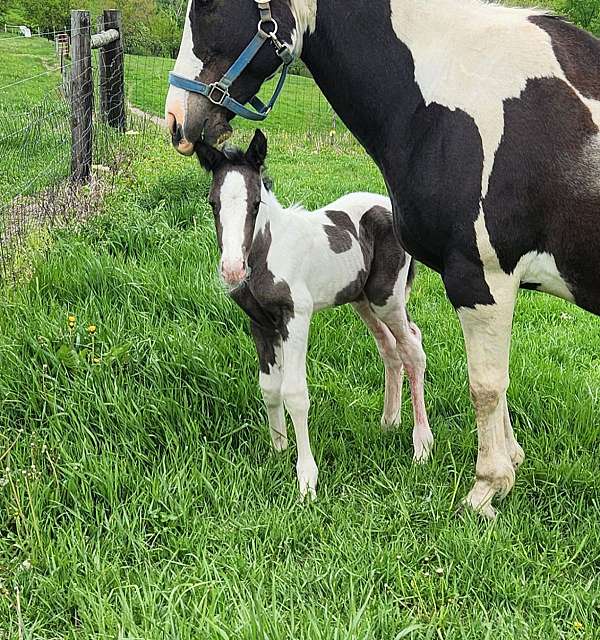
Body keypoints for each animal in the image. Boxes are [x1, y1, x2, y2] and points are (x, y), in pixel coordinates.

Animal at [197, 130, 432, 500]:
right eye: (212, 203)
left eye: (255, 204)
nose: (232, 270)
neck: (269, 250)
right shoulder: (260, 324)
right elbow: (269, 387)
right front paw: (278, 450)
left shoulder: (297, 316)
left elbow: (295, 393)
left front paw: (306, 479)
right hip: (361, 300)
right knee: (390, 347)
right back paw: (388, 422)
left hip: (387, 298)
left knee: (413, 350)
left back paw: (421, 445)